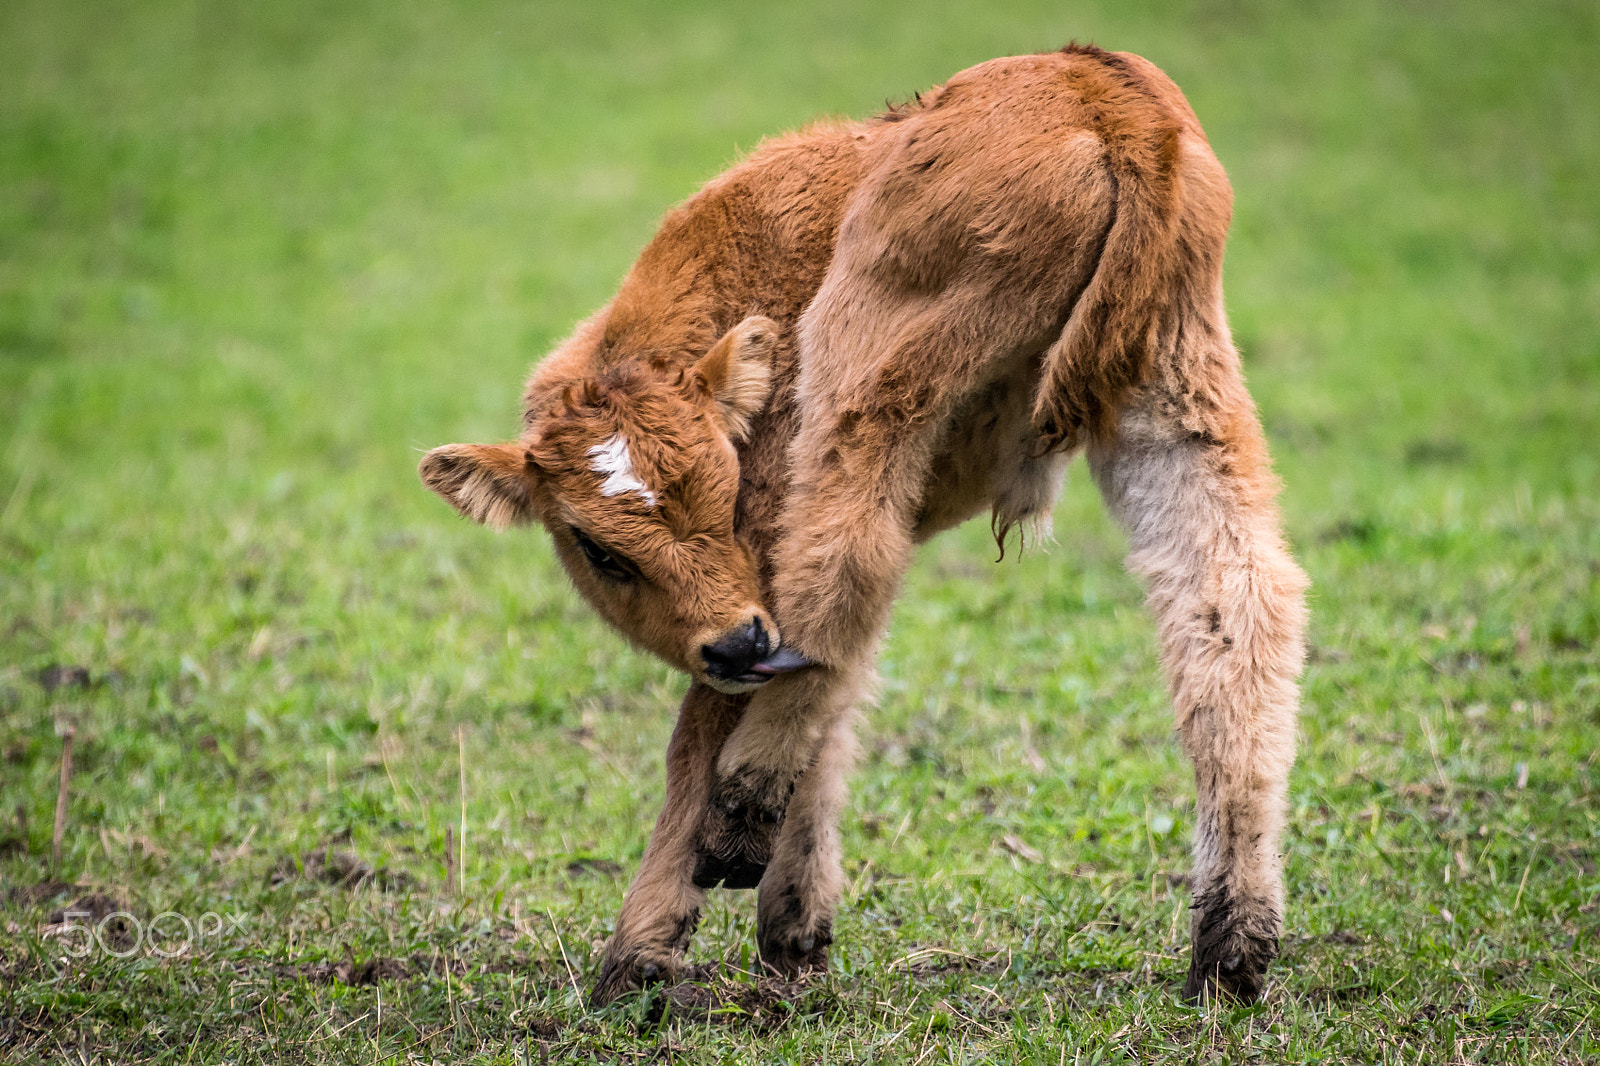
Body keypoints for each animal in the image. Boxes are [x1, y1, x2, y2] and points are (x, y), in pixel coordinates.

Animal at [420, 44, 1308, 1006]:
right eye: (598, 547)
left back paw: (728, 831)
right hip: (1177, 392)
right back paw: (1230, 950)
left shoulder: (762, 555)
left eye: (726, 491)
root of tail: (1100, 91)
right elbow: (836, 713)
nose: (734, 643)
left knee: (846, 565)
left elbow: (712, 726)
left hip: (869, 373)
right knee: (1236, 605)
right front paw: (794, 939)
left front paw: (646, 958)